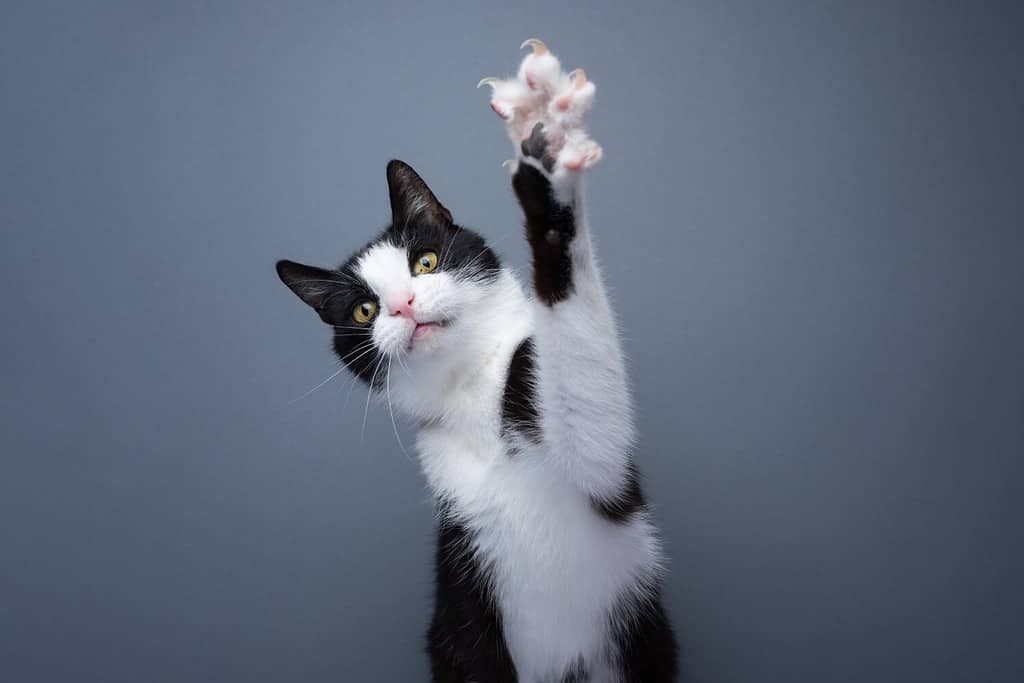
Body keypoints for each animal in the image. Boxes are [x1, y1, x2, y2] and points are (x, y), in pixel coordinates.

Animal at [276, 40, 679, 679]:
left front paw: (547, 177)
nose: (404, 305)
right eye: (364, 310)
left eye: (425, 262)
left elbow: (587, 391)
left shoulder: (600, 470)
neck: (470, 388)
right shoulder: (463, 600)